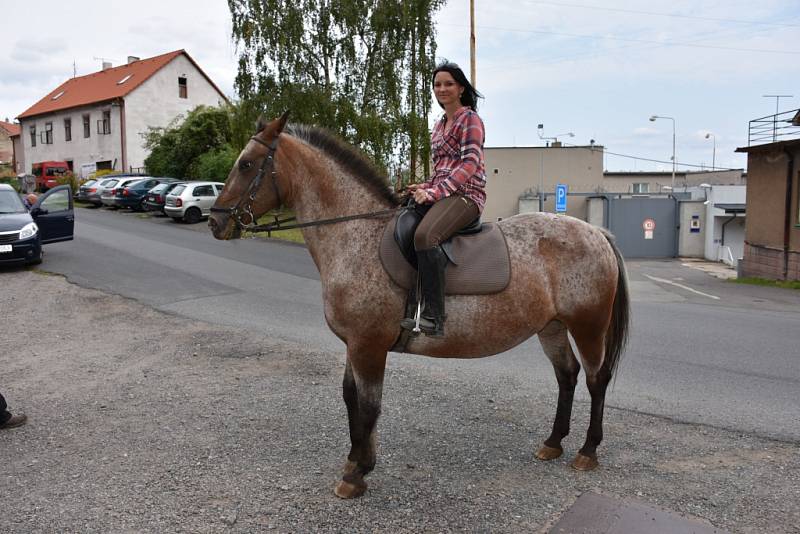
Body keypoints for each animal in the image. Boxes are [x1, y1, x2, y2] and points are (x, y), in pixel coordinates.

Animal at [208, 114, 632, 502]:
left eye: (246, 164)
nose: (214, 221)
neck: (356, 235)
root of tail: (596, 233)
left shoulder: (368, 345)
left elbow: (368, 406)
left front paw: (357, 474)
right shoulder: (354, 344)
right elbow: (350, 398)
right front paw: (356, 460)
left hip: (588, 326)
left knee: (595, 379)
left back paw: (587, 450)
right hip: (552, 326)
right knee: (567, 375)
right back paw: (554, 442)